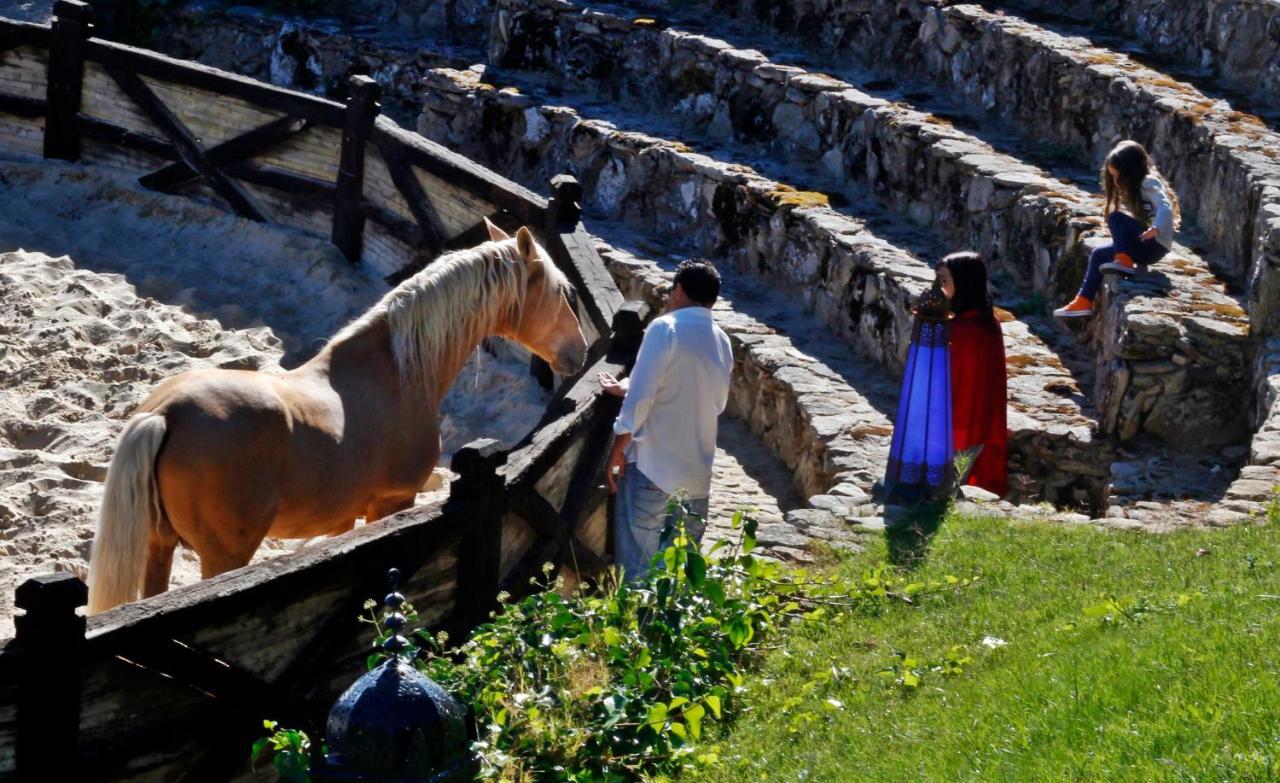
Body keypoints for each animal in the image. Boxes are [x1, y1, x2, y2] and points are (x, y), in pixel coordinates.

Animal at [87, 218, 586, 611]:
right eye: (562, 293)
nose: (579, 352)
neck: (396, 371)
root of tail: (166, 414)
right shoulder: (392, 503)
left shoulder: (343, 520)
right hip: (223, 557)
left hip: (159, 545)